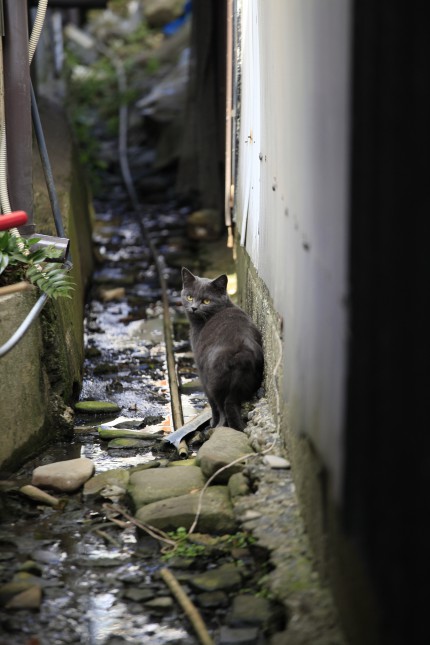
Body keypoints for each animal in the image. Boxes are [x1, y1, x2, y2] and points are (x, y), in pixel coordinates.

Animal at [181, 264, 264, 430]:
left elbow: (212, 405)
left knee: (221, 407)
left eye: (206, 301)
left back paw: (217, 427)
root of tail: (242, 351)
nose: (193, 307)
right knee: (231, 404)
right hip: (246, 382)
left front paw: (212, 423)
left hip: (214, 382)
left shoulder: (201, 373)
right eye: (189, 297)